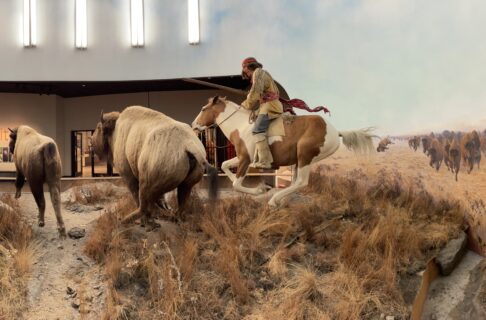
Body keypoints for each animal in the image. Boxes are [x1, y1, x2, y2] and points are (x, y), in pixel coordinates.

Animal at [192, 97, 374, 208]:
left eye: (203, 109)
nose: (194, 126)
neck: (242, 126)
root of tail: (336, 133)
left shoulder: (245, 159)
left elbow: (236, 184)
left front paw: (260, 191)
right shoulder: (242, 158)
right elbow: (224, 165)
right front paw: (260, 189)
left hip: (304, 156)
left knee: (301, 182)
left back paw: (274, 200)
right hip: (300, 160)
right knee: (297, 183)